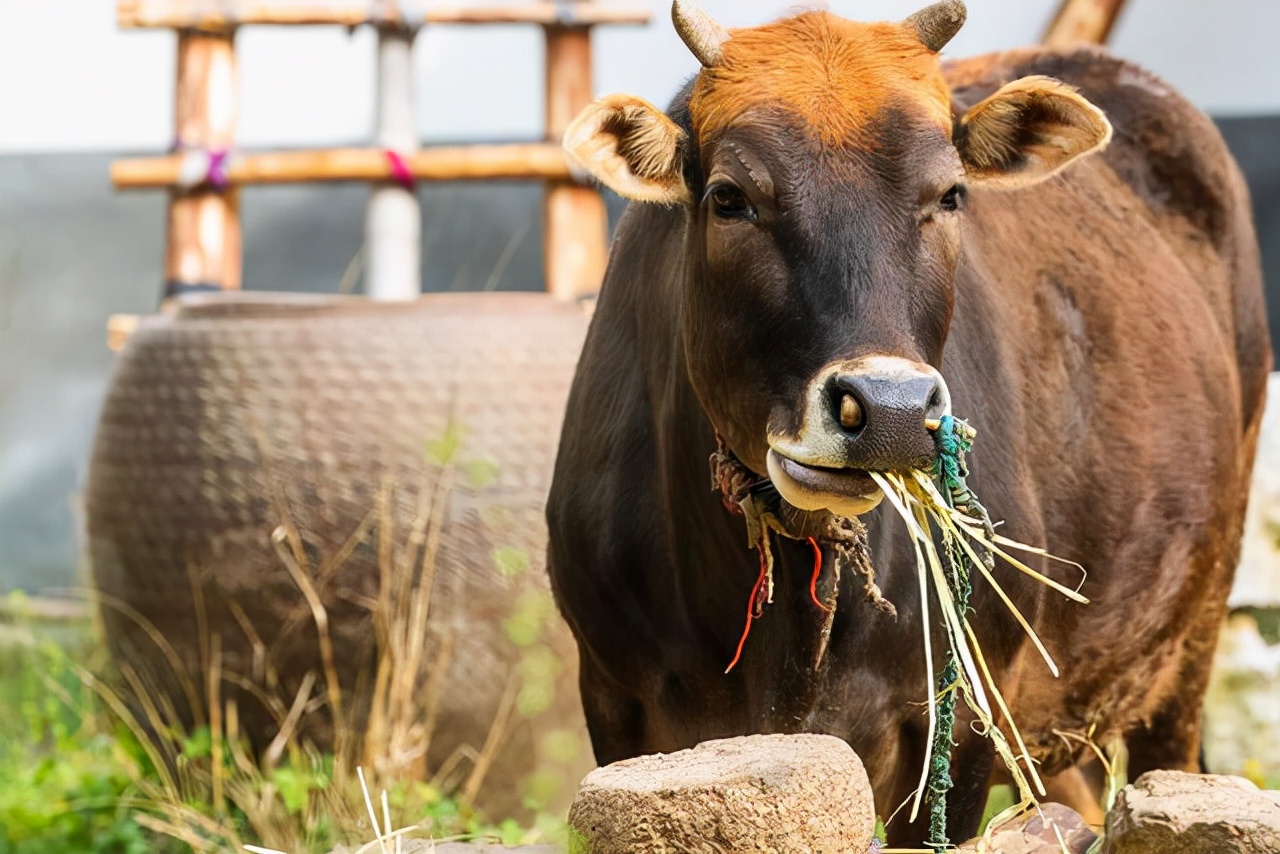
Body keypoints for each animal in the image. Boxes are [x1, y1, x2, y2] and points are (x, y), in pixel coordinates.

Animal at [542, 0, 1269, 839]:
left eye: (950, 194)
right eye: (728, 197)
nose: (887, 411)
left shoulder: (965, 717)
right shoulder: (617, 707)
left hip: (1190, 639)